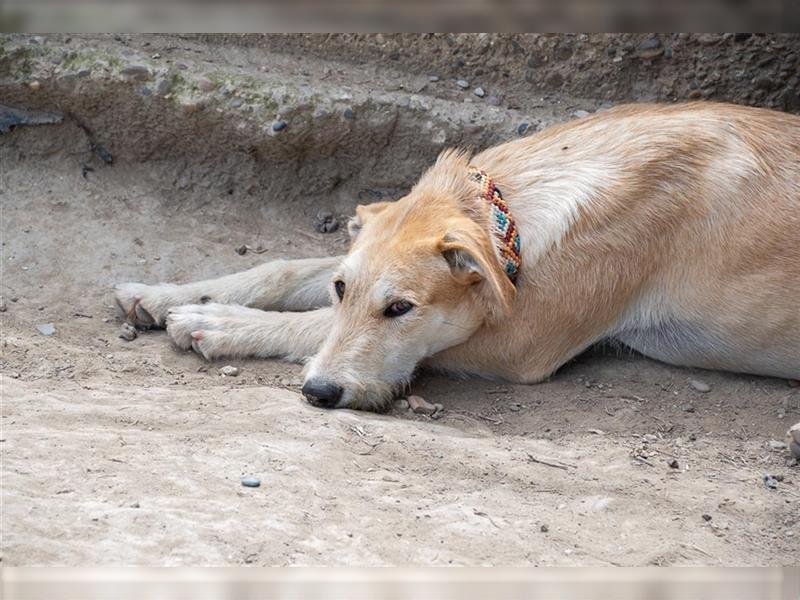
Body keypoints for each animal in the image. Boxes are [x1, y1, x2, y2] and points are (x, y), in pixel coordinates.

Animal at [114, 102, 800, 412]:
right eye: (343, 290)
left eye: (401, 309)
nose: (318, 393)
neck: (509, 214)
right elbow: (283, 269)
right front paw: (169, 293)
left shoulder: (518, 341)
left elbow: (306, 325)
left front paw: (216, 322)